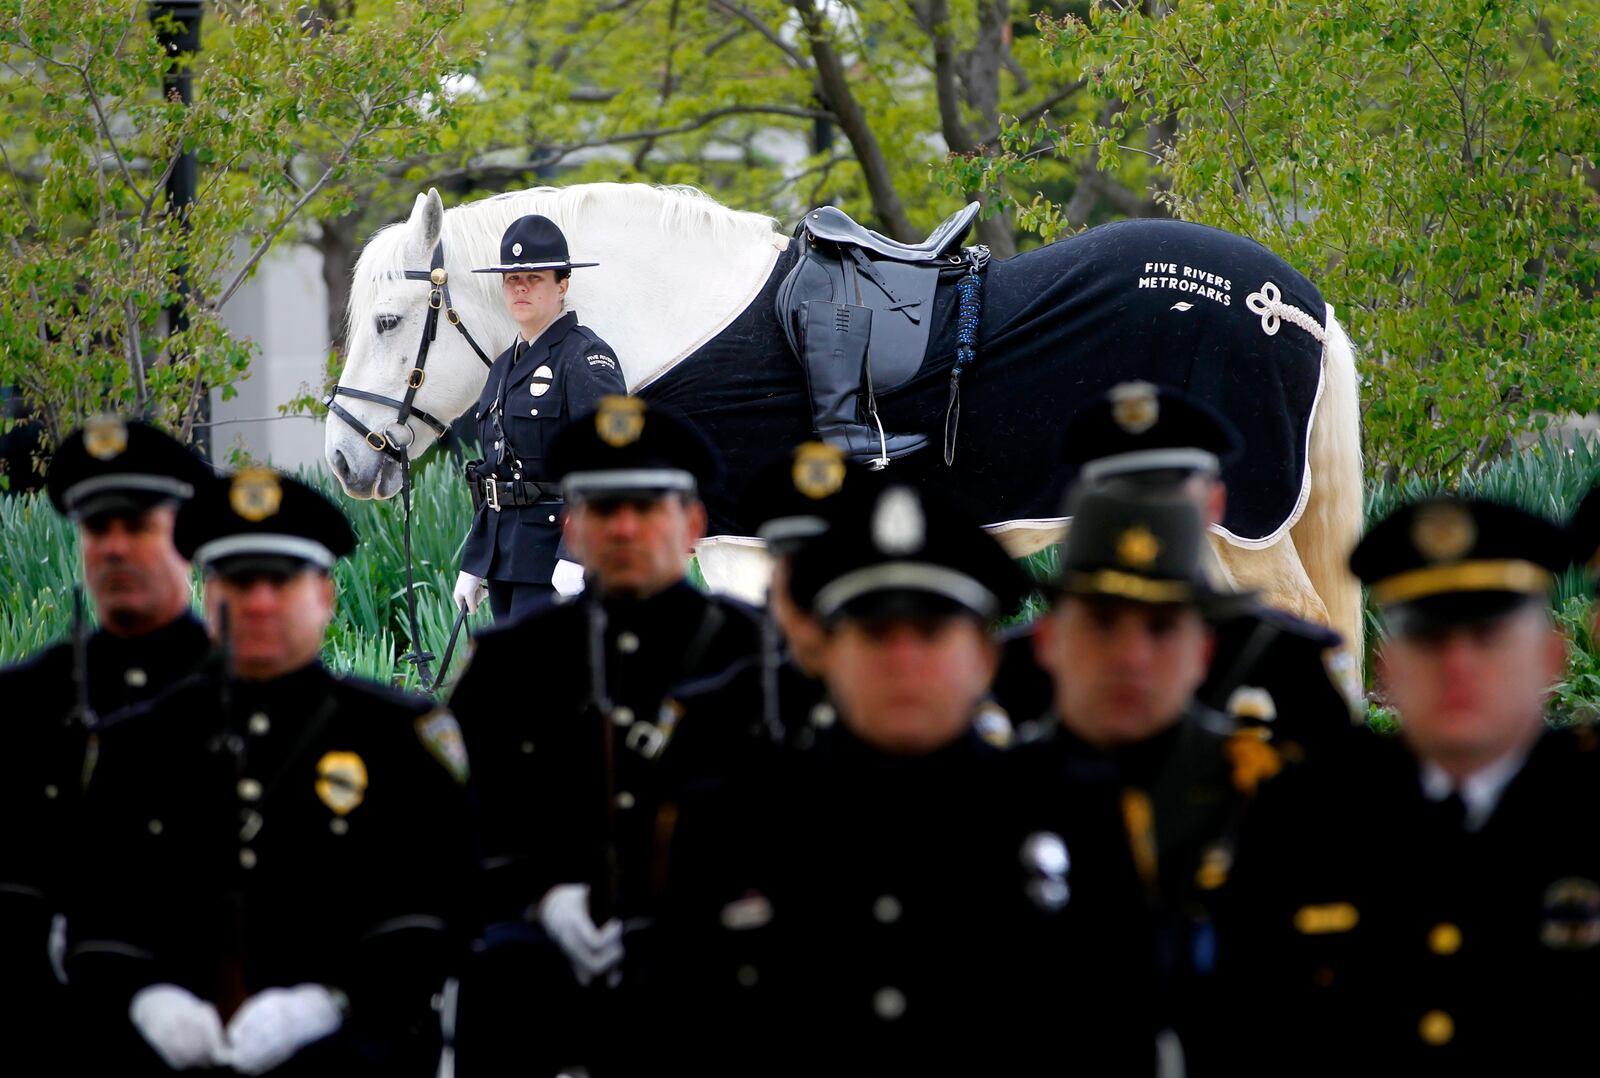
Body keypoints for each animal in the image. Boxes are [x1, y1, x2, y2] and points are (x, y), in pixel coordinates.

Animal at [324, 182, 1363, 646]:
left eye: (386, 321)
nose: (343, 461)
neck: (684, 323)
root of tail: (1293, 304)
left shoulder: (744, 549)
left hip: (1243, 527)